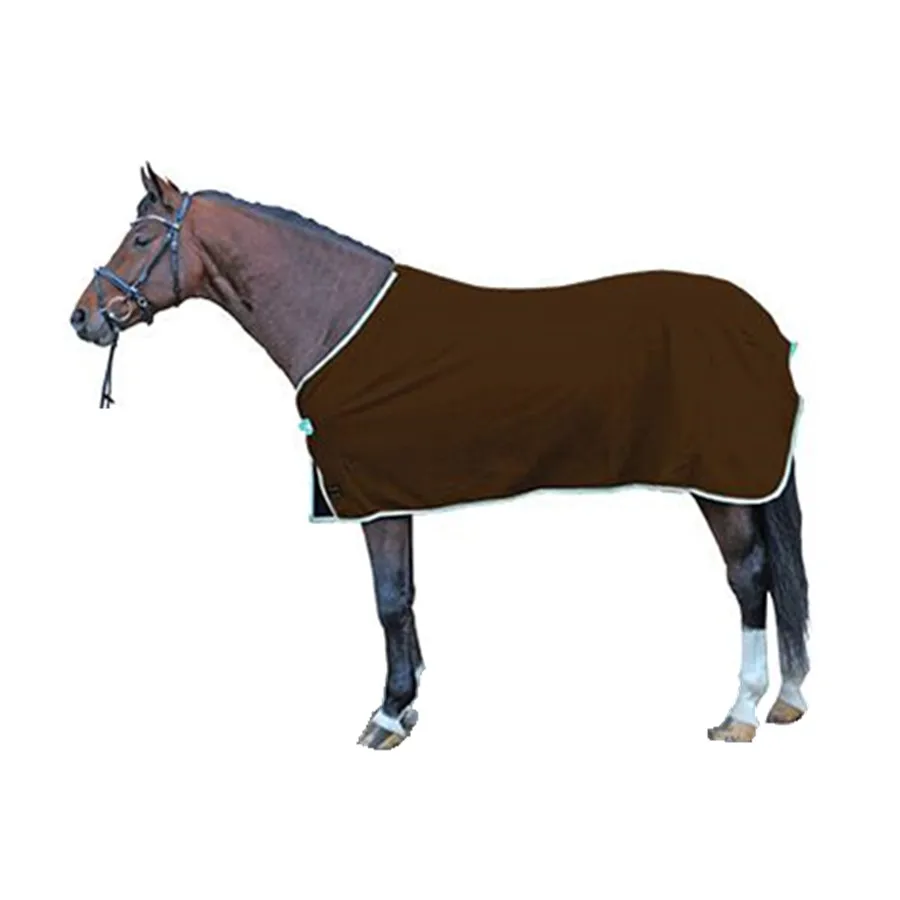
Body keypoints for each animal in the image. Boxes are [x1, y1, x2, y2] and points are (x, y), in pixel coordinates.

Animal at [70, 164, 809, 748]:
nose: (82, 318)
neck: (337, 318)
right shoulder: (394, 495)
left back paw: (740, 710)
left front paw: (388, 715)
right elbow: (406, 596)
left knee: (749, 575)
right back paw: (788, 697)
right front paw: (408, 703)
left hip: (721, 483)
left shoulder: (373, 500)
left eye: (141, 239)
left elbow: (389, 599)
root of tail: (764, 326)